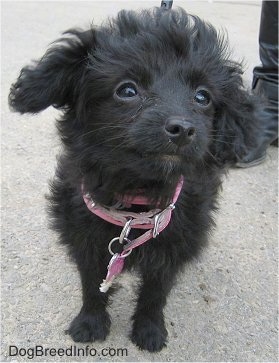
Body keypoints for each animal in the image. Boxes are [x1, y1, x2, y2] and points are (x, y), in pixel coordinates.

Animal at [9, 6, 262, 352]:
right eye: (127, 90)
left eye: (203, 97)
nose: (183, 128)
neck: (135, 206)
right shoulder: (85, 238)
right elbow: (92, 284)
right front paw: (90, 322)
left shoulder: (171, 245)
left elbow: (156, 293)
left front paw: (149, 329)